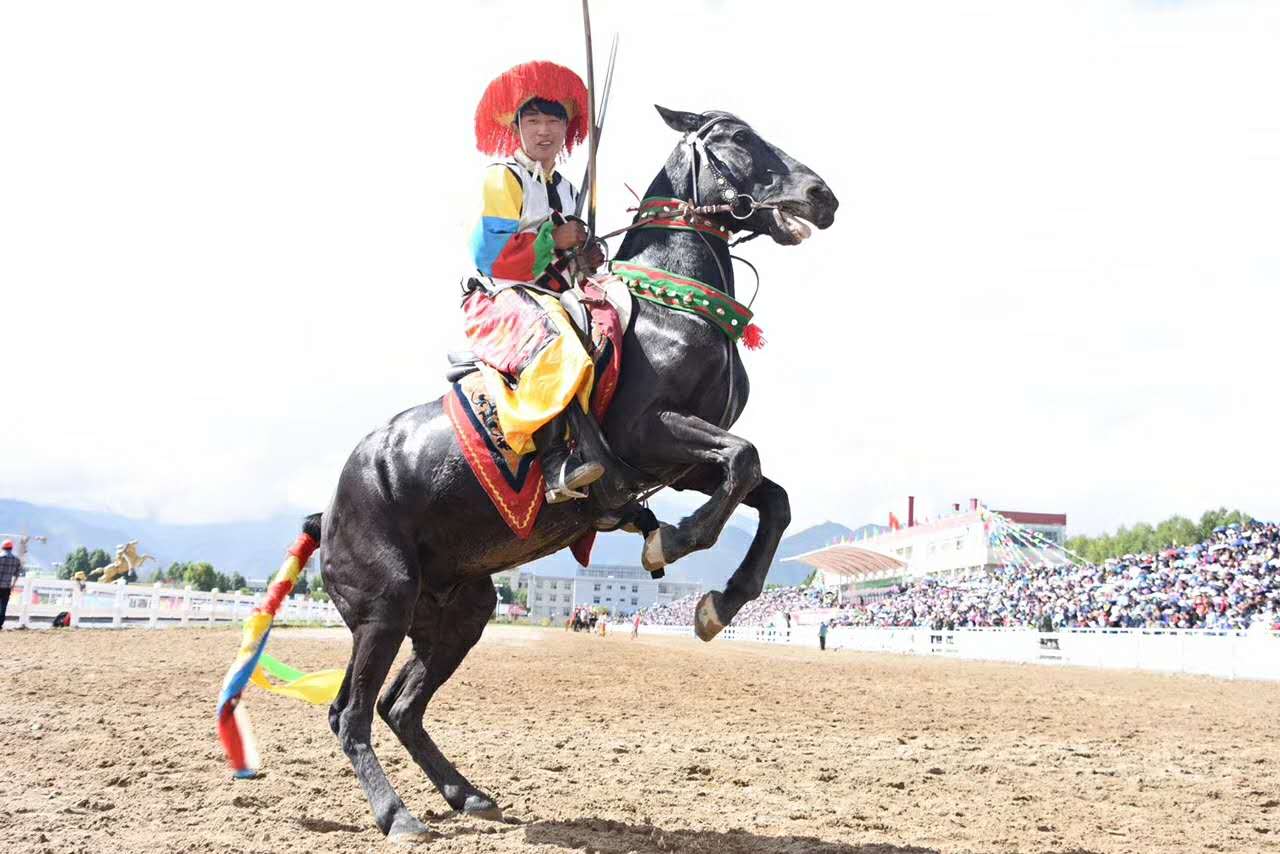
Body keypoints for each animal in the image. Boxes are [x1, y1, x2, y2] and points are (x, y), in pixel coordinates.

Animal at [317, 106, 839, 839]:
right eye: (737, 136)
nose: (821, 196)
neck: (671, 309)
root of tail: (332, 505)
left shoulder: (680, 463)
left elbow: (772, 495)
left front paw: (719, 603)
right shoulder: (650, 432)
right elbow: (744, 459)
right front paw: (669, 542)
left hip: (458, 611)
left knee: (401, 706)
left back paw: (466, 793)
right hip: (384, 603)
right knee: (352, 712)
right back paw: (396, 814)